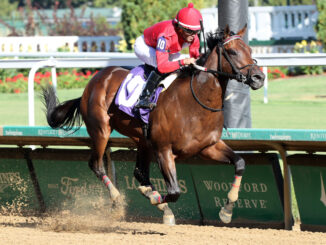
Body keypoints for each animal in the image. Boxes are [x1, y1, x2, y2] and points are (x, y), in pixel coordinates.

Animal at [42, 25, 264, 226]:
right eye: (233, 51)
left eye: (250, 50)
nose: (259, 77)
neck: (196, 102)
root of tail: (93, 81)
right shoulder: (164, 149)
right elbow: (174, 192)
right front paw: (156, 198)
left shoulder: (208, 147)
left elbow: (240, 163)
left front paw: (227, 210)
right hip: (101, 131)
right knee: (96, 164)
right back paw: (118, 198)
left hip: (143, 141)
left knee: (139, 173)